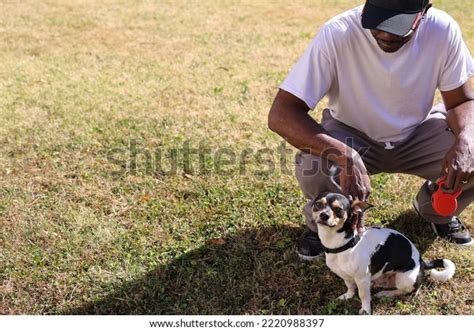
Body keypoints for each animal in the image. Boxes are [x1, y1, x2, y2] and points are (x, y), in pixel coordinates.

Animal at [312, 193, 456, 316]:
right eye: (318, 204)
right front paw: (348, 296)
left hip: (405, 279)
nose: (324, 215)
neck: (344, 244)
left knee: (403, 291)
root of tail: (422, 262)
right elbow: (351, 287)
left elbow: (364, 296)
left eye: (339, 209)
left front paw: (365, 310)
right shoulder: (346, 276)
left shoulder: (362, 278)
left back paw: (385, 294)